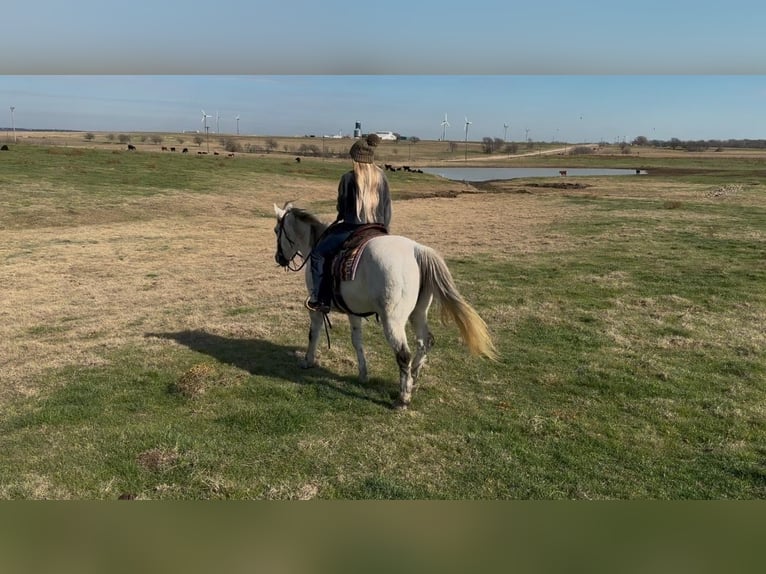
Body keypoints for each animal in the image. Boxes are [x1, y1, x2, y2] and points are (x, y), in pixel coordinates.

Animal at [272, 202, 500, 410]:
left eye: (276, 231)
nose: (278, 258)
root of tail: (417, 250)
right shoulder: (353, 312)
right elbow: (357, 341)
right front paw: (363, 374)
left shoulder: (316, 307)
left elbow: (314, 333)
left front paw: (307, 361)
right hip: (418, 313)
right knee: (425, 342)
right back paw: (413, 378)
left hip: (393, 320)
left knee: (404, 354)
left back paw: (402, 399)